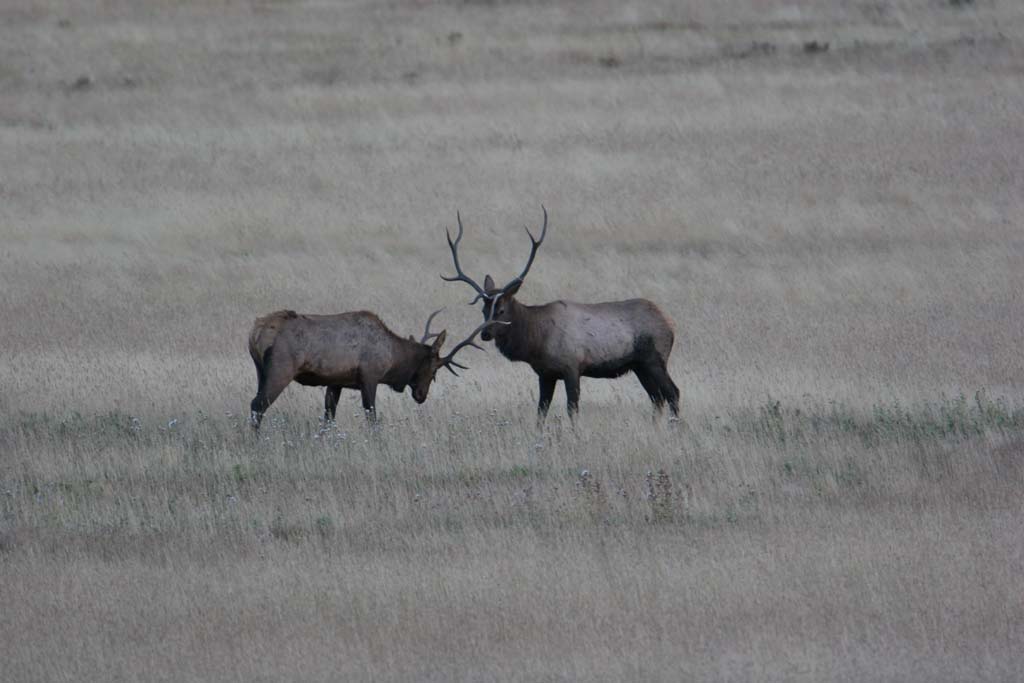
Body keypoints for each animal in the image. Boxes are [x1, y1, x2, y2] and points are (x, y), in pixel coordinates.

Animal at [243, 309, 491, 428]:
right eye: (434, 370)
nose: (421, 395)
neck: (393, 357)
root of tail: (256, 332)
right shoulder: (370, 377)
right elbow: (372, 416)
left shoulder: (336, 382)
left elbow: (328, 417)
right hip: (281, 370)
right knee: (257, 404)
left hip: (260, 371)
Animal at [440, 206, 679, 421]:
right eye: (483, 309)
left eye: (501, 310)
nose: (485, 334)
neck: (536, 341)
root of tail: (669, 323)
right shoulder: (545, 374)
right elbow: (541, 412)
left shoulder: (572, 367)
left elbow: (572, 410)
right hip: (639, 366)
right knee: (657, 398)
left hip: (655, 359)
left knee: (672, 393)